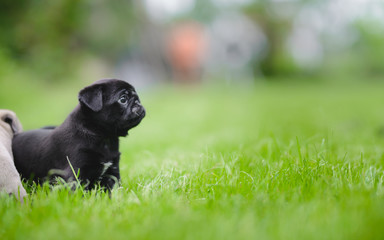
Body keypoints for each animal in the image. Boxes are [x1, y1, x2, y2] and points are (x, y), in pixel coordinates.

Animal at [12, 79, 145, 189]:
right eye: (123, 99)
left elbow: (113, 187)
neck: (104, 137)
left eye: (137, 98)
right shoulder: (76, 172)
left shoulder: (111, 171)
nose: (138, 103)